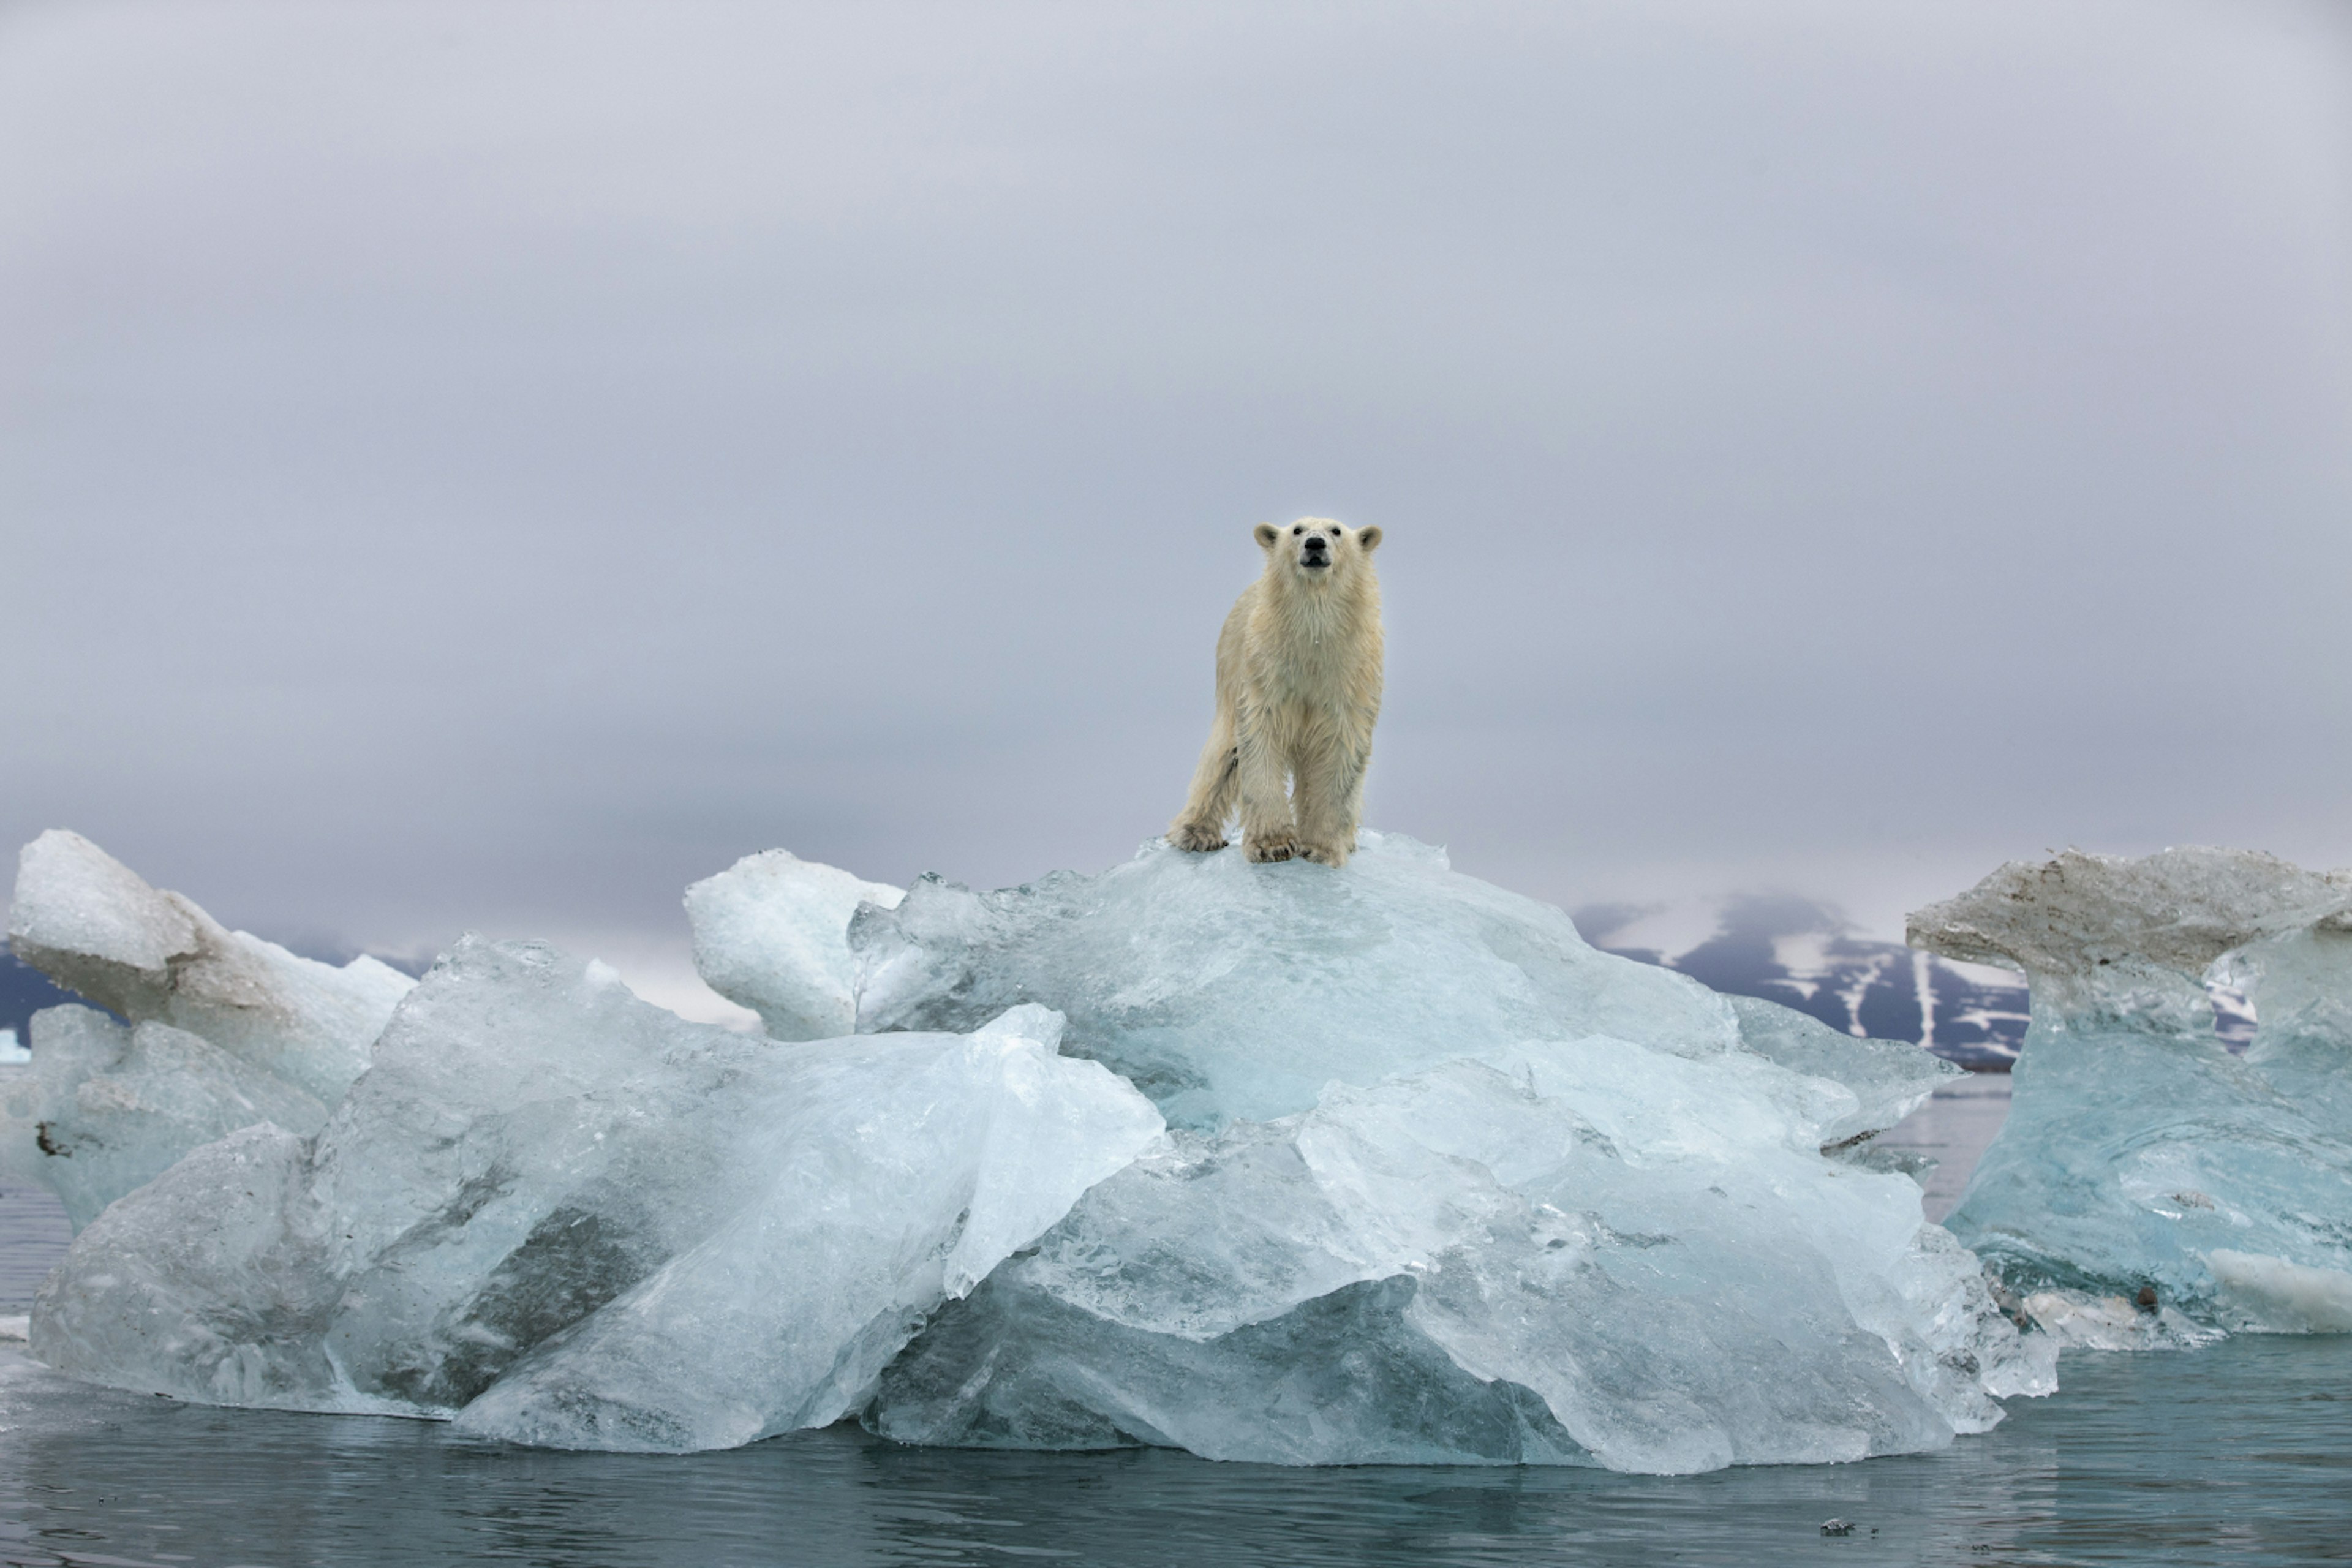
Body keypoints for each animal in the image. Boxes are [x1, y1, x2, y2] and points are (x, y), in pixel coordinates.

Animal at [1171, 524, 1382, 870]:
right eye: (1297, 529)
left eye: (1336, 530)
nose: (1315, 544)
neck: (1312, 640)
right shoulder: (1267, 671)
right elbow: (1260, 742)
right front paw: (1274, 845)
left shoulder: (1349, 677)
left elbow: (1341, 754)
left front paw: (1322, 849)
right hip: (1231, 666)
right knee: (1223, 753)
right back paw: (1195, 834)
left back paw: (1349, 841)